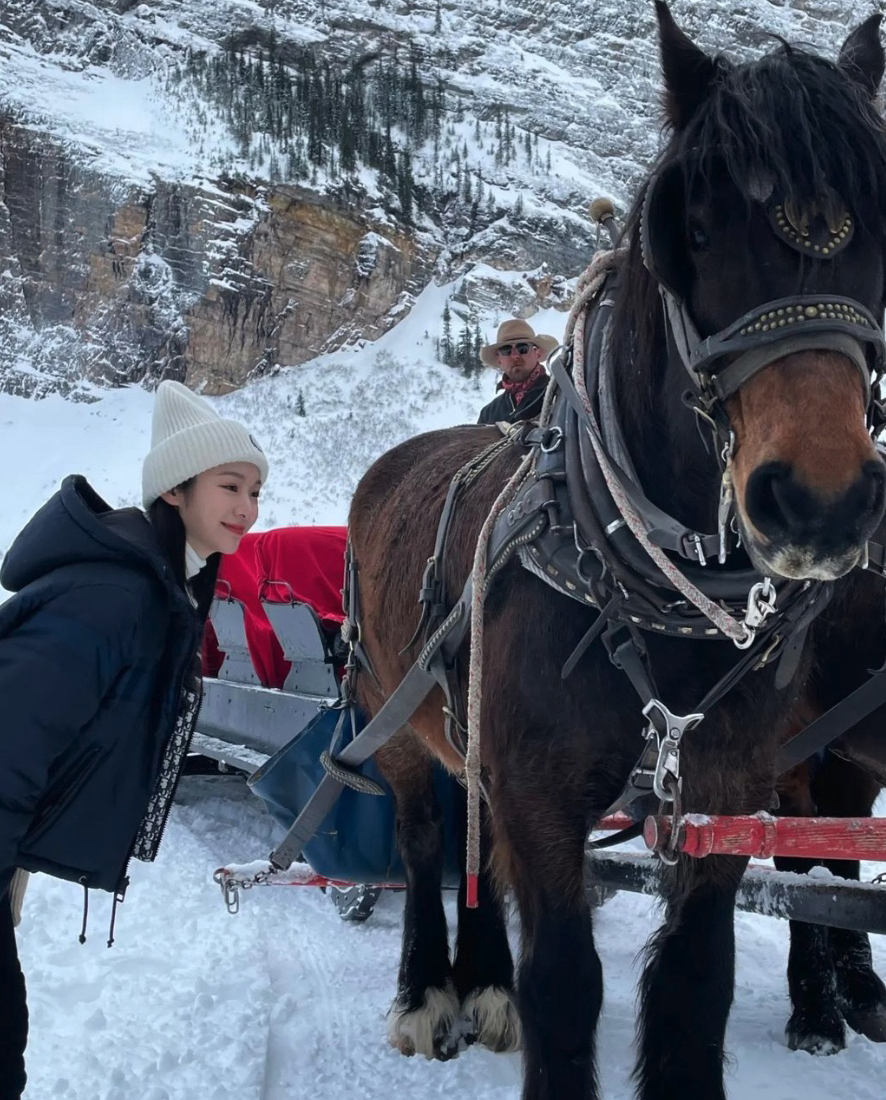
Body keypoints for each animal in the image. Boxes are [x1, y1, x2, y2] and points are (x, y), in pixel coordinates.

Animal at [345, 4, 884, 1095]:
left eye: (882, 229)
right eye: (698, 228)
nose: (822, 500)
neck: (644, 601)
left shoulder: (720, 801)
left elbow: (693, 984)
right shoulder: (545, 796)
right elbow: (566, 987)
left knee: (477, 848)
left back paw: (484, 980)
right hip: (398, 710)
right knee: (424, 840)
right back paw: (429, 987)